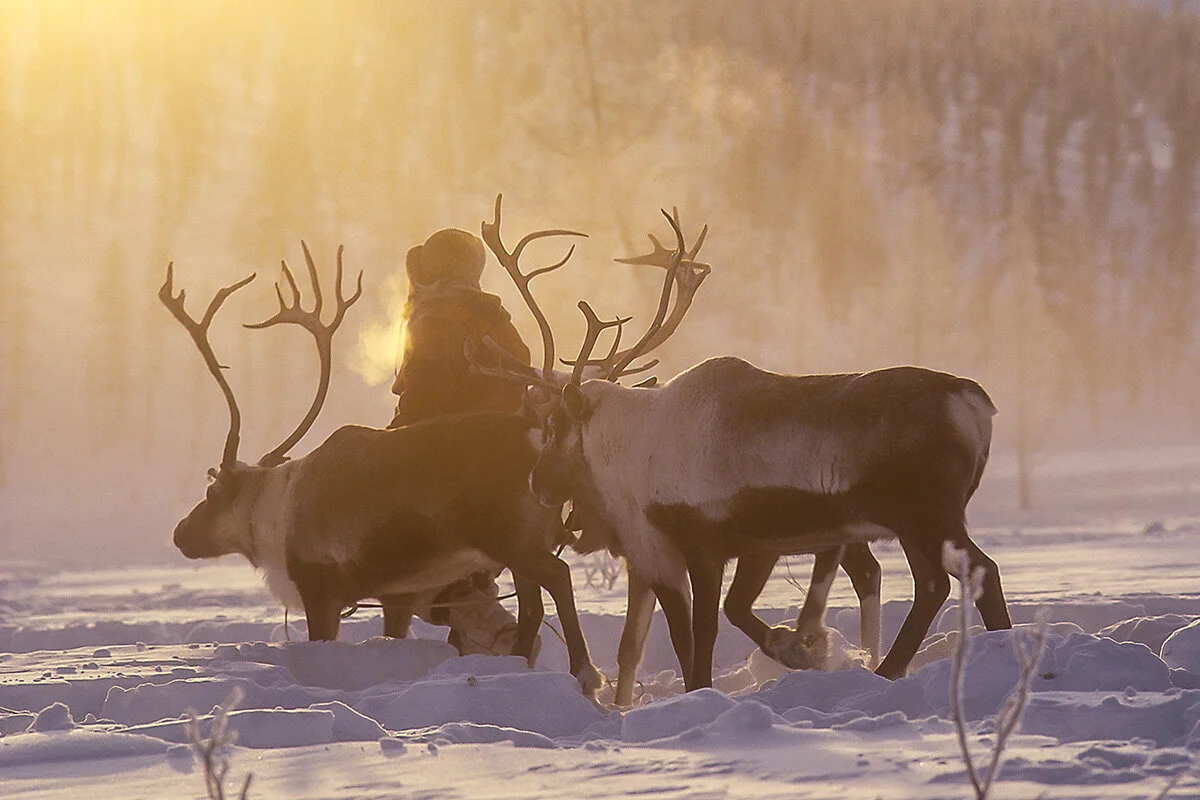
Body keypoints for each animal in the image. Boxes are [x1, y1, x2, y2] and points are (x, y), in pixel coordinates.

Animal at [160, 240, 603, 696]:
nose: (180, 533)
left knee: (559, 575)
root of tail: (536, 431)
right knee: (532, 605)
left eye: (212, 493)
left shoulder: (321, 588)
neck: (276, 510)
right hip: (520, 544)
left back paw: (585, 672)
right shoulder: (399, 594)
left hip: (511, 538)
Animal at [476, 198, 893, 705]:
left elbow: (692, 634)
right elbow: (650, 642)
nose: (537, 483)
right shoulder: (655, 555)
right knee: (869, 571)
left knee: (870, 573)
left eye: (555, 425)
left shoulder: (681, 549)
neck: (629, 452)